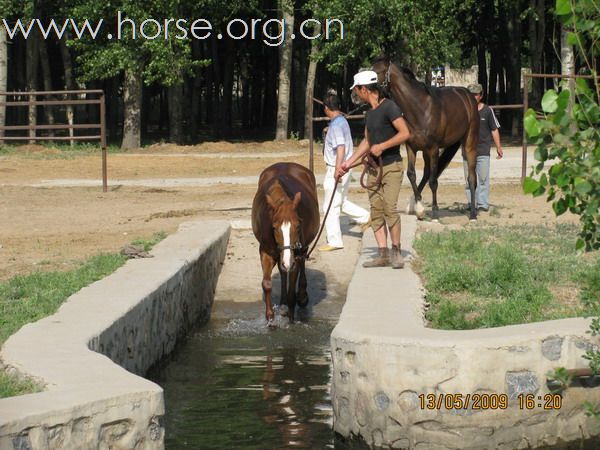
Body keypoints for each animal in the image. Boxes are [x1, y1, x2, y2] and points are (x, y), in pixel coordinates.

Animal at [252, 163, 322, 326]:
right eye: (274, 228)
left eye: (298, 225)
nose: (288, 261)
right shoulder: (266, 252)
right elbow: (267, 284)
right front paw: (270, 317)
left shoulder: (294, 256)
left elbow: (292, 292)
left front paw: (291, 319)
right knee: (283, 270)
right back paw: (283, 303)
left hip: (301, 250)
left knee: (301, 264)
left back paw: (302, 296)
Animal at [370, 58, 478, 221]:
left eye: (376, 72)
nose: (354, 96)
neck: (420, 109)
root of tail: (467, 95)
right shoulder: (412, 147)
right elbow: (411, 174)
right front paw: (419, 208)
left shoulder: (433, 149)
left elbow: (433, 181)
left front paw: (434, 212)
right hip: (428, 151)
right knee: (427, 173)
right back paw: (412, 205)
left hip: (468, 143)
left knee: (471, 178)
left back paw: (472, 214)